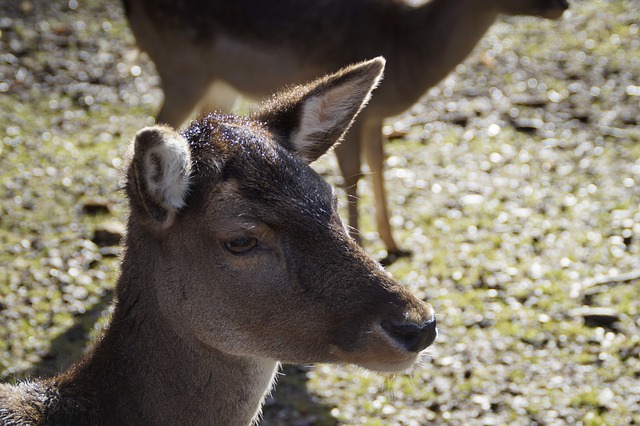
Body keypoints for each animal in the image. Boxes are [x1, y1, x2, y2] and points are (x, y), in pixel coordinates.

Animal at [121, 0, 568, 262]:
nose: (561, 5)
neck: (411, 49)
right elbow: (354, 174)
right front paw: (364, 242)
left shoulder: (374, 117)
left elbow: (380, 165)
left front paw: (395, 243)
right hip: (182, 68)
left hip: (219, 87)